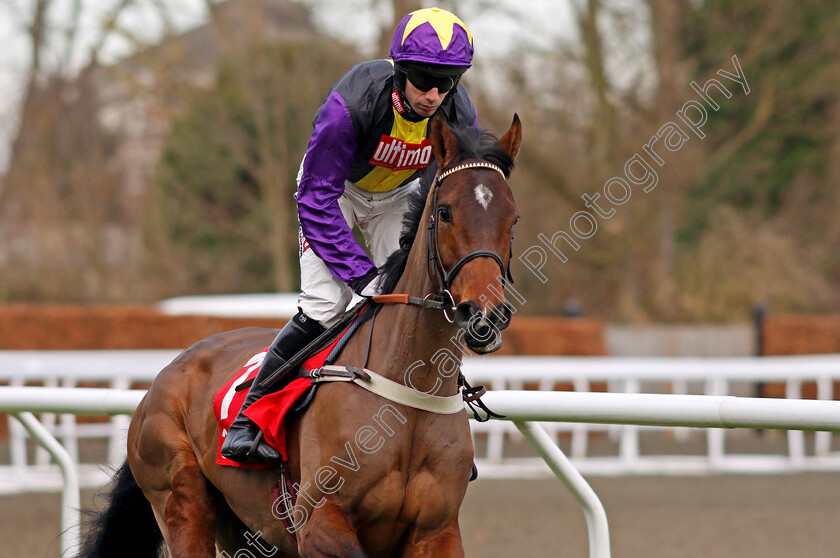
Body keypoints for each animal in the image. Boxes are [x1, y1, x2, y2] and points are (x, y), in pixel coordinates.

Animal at [82, 115, 520, 558]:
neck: (409, 394)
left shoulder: (437, 532)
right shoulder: (320, 523)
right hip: (180, 499)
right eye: (445, 213)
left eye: (513, 218)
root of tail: (164, 376)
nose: (484, 313)